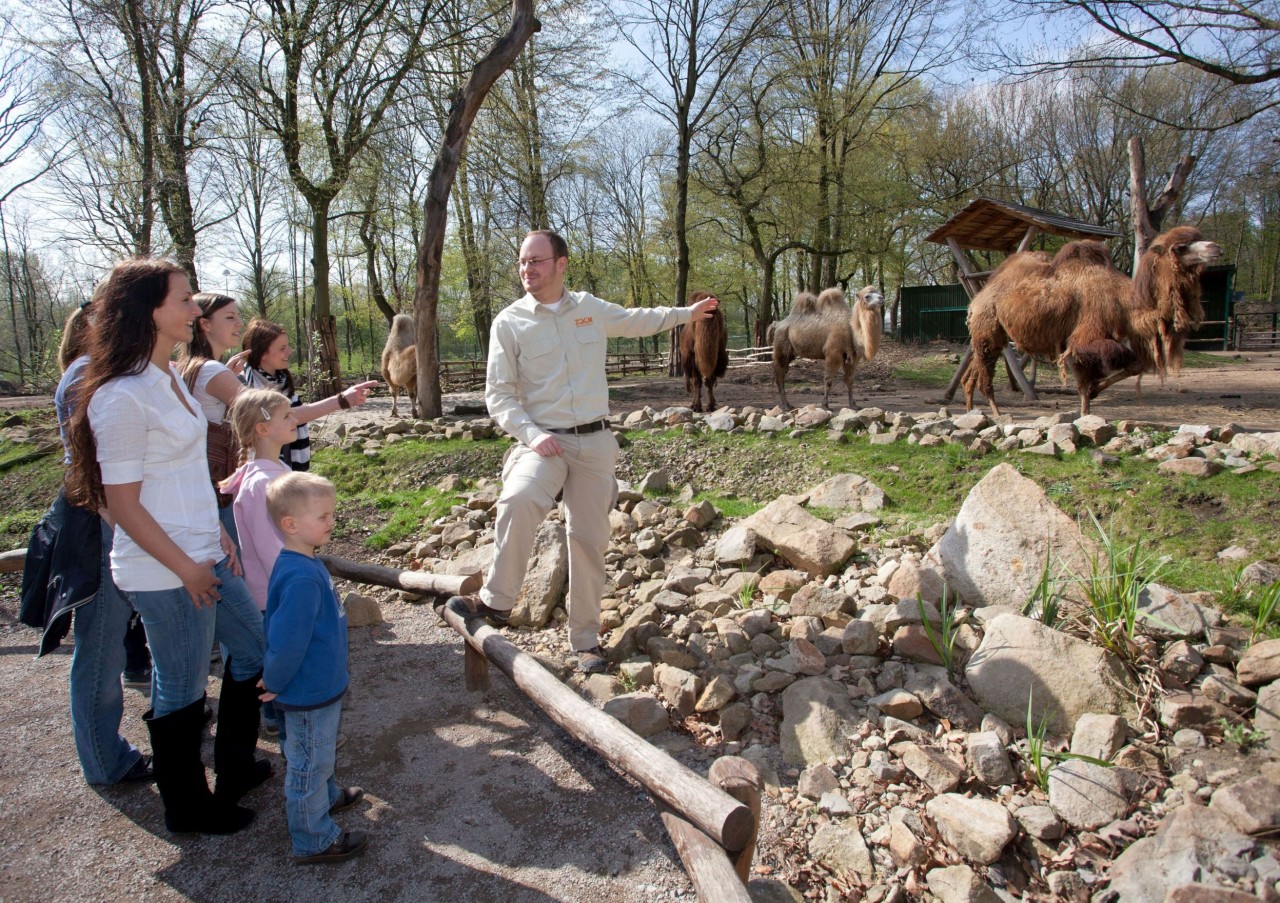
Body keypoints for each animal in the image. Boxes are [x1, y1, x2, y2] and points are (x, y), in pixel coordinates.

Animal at [962, 225, 1218, 414]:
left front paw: (1088, 408)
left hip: (995, 335)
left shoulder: (1074, 342)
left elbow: (1092, 384)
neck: (1124, 301)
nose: (1215, 247)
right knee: (985, 373)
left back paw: (973, 409)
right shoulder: (1086, 335)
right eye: (1180, 247)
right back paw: (997, 415)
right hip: (987, 324)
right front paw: (1091, 401)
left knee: (975, 370)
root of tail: (977, 299)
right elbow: (1125, 363)